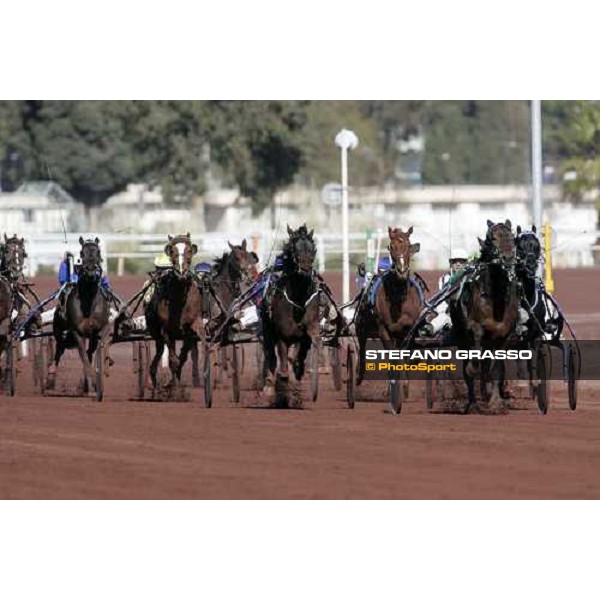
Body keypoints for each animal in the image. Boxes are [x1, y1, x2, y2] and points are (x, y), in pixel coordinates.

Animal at [48, 238, 111, 398]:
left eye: (98, 251)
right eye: (82, 252)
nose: (91, 270)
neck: (88, 299)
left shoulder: (100, 328)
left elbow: (103, 344)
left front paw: (105, 368)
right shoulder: (77, 332)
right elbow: (84, 358)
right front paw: (93, 383)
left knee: (89, 352)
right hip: (59, 331)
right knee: (59, 349)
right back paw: (51, 377)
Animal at [145, 233, 204, 394]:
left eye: (189, 250)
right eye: (172, 251)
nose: (181, 272)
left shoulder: (190, 330)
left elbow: (182, 358)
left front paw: (174, 384)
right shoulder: (166, 331)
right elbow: (173, 360)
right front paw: (173, 387)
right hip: (154, 329)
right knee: (159, 349)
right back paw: (151, 380)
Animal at [260, 224, 322, 404]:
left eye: (313, 249)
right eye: (295, 248)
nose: (306, 268)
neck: (298, 300)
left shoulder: (306, 334)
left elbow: (297, 361)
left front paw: (296, 392)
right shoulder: (283, 336)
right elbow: (283, 367)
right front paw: (282, 393)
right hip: (267, 328)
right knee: (271, 355)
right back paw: (270, 387)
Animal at [354, 225, 424, 412]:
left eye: (408, 245)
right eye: (392, 246)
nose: (401, 270)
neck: (398, 294)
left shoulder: (407, 329)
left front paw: (402, 388)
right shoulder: (383, 329)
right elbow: (391, 357)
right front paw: (394, 398)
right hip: (361, 327)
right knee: (362, 349)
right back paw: (359, 378)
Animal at [450, 220, 520, 412]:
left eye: (512, 236)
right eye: (493, 238)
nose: (508, 258)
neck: (495, 296)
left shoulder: (504, 334)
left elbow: (496, 369)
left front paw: (495, 402)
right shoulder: (474, 326)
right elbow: (474, 359)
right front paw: (473, 369)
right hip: (460, 335)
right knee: (468, 366)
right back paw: (473, 403)